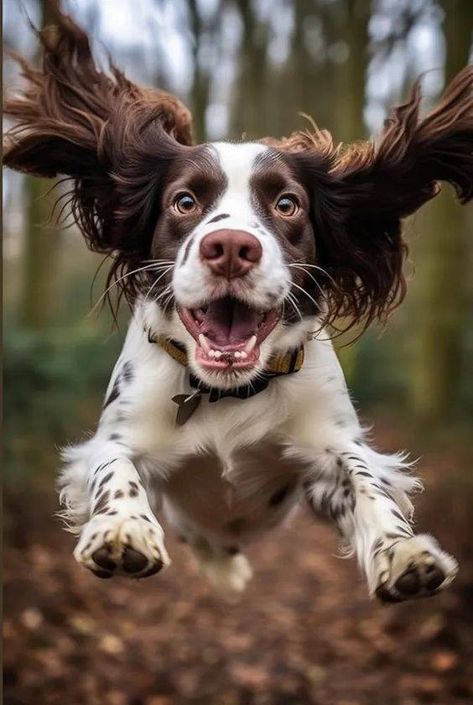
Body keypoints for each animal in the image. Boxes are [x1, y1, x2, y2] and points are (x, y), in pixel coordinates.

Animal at [4, 9, 472, 600]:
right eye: (184, 201)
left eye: (287, 203)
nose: (229, 247)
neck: (226, 393)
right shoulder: (119, 432)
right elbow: (114, 466)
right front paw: (121, 528)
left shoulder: (327, 449)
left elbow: (367, 480)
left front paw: (402, 551)